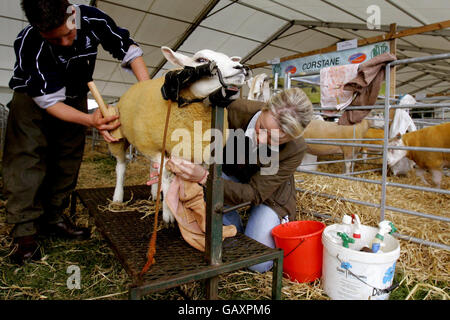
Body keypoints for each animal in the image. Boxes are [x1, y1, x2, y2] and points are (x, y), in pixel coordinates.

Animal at [109, 47, 250, 222]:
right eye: (201, 60)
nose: (241, 67)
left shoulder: (200, 152)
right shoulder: (156, 148)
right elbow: (167, 176)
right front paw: (168, 214)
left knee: (152, 167)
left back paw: (154, 193)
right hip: (121, 138)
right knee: (121, 166)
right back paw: (118, 197)